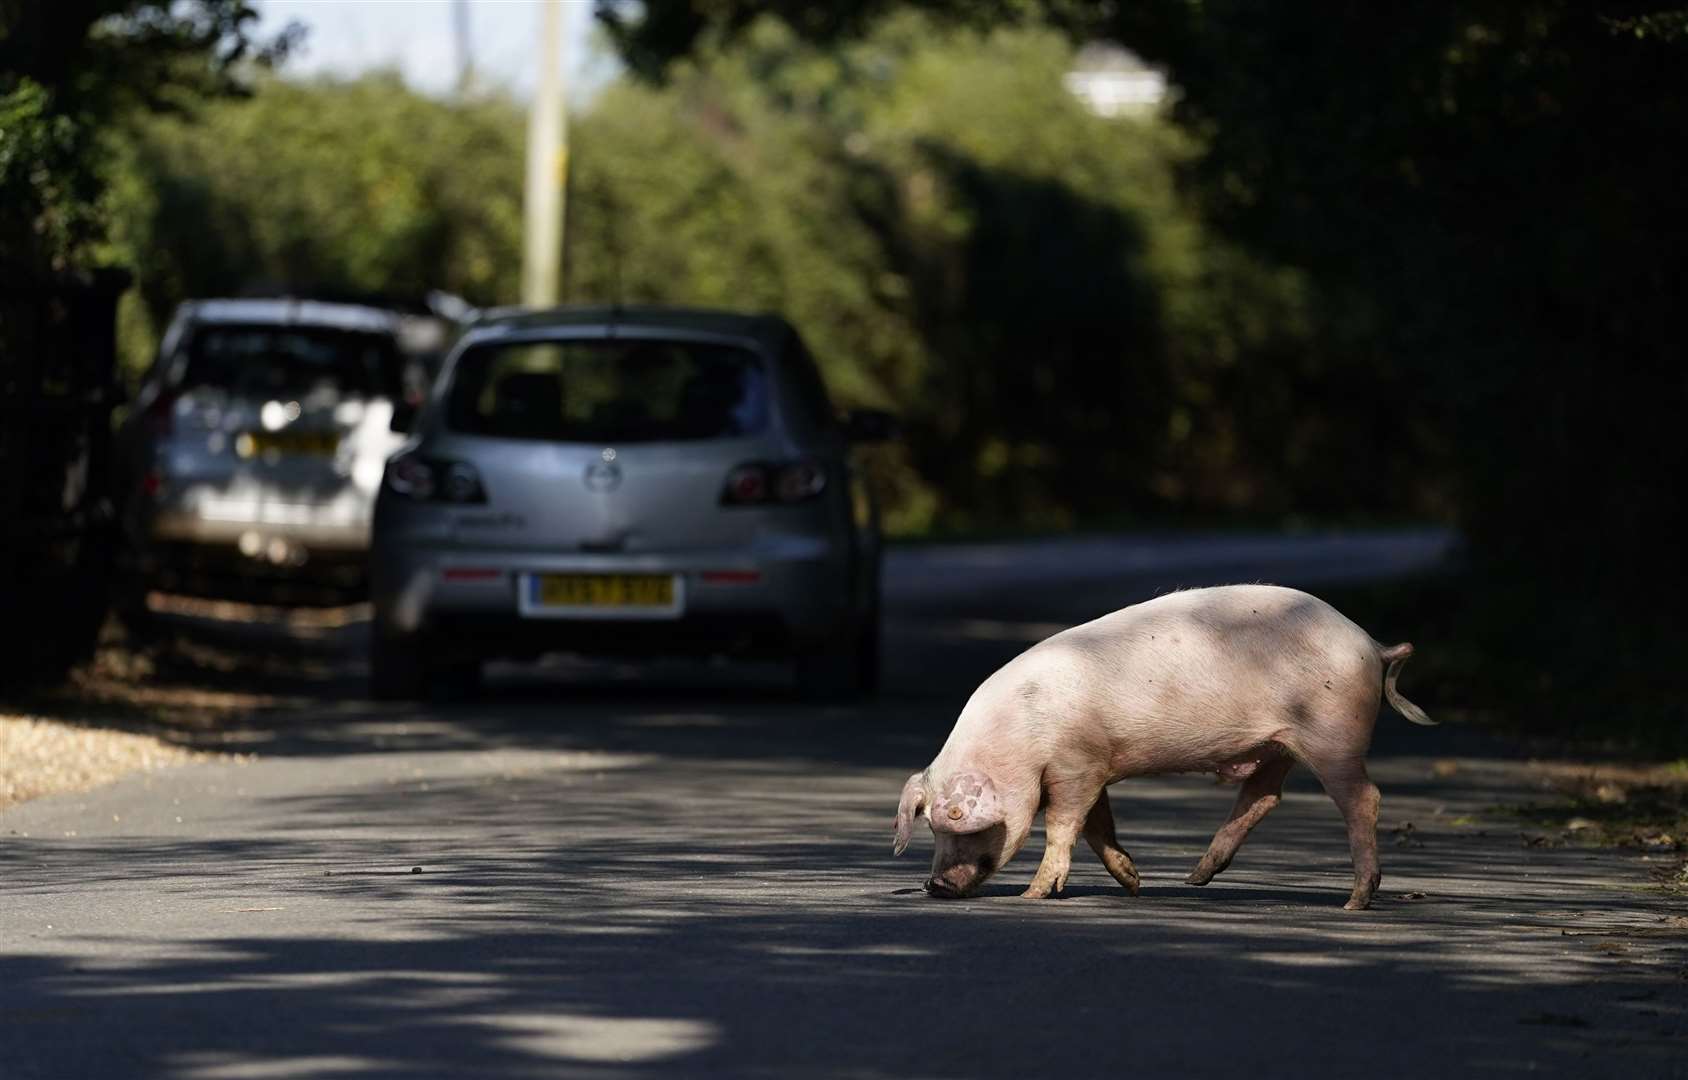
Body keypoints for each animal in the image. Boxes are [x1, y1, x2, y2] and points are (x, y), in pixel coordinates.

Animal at [891, 587, 1431, 904]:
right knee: (1264, 797)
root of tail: (1371, 644)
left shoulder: (1076, 763)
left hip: (1332, 735)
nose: (933, 885)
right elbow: (1098, 827)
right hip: (1279, 745)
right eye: (930, 829)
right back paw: (1194, 880)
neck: (1021, 741)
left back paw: (1356, 900)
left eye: (958, 827)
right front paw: (1134, 883)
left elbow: (1065, 825)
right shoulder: (1095, 763)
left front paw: (1033, 896)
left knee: (1364, 798)